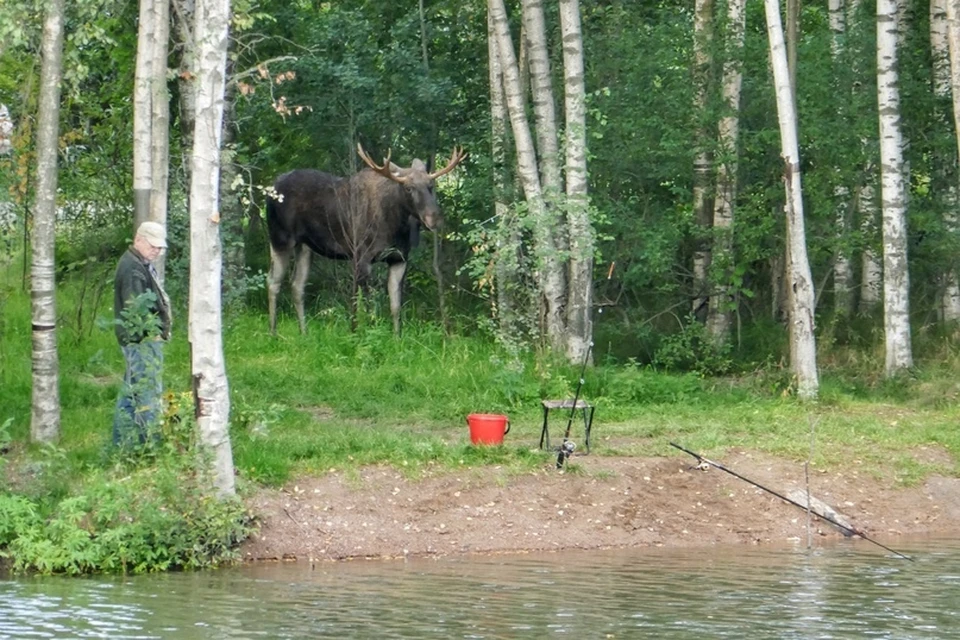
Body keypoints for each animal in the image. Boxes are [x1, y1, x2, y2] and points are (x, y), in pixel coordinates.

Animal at [268, 144, 466, 336]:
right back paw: (273, 333)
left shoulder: (399, 259)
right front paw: (364, 334)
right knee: (273, 281)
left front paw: (396, 338)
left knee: (297, 285)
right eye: (408, 188)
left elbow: (395, 307)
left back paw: (304, 333)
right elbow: (367, 305)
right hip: (280, 239)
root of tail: (272, 187)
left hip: (305, 246)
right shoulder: (361, 256)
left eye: (431, 185)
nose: (434, 218)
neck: (395, 226)